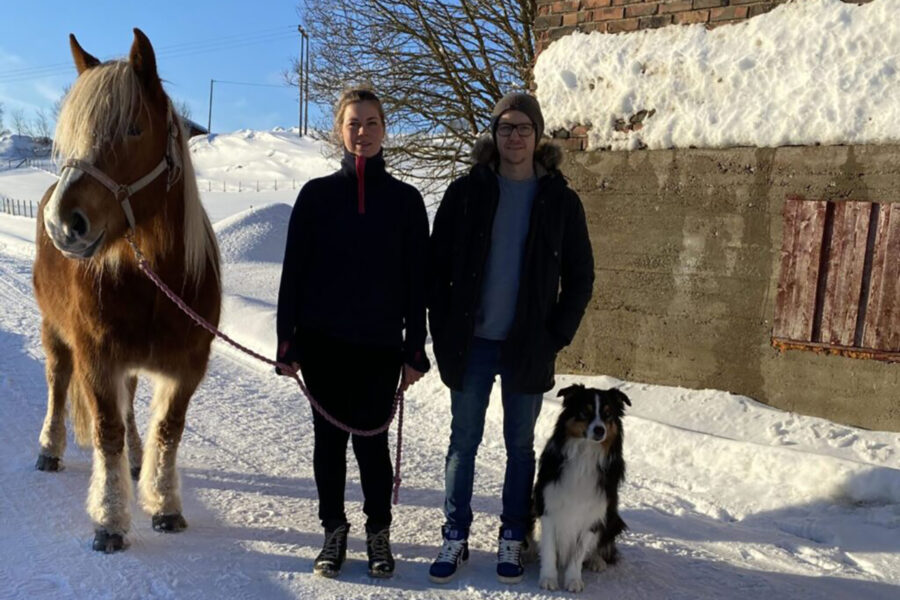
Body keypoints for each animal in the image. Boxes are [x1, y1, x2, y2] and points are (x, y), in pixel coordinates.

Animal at [33, 28, 221, 552]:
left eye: (134, 129)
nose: (63, 223)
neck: (156, 282)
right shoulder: (98, 357)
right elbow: (107, 430)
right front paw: (111, 521)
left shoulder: (187, 366)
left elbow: (167, 432)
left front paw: (164, 504)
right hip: (55, 332)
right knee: (58, 382)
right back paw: (49, 449)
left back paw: (138, 462)